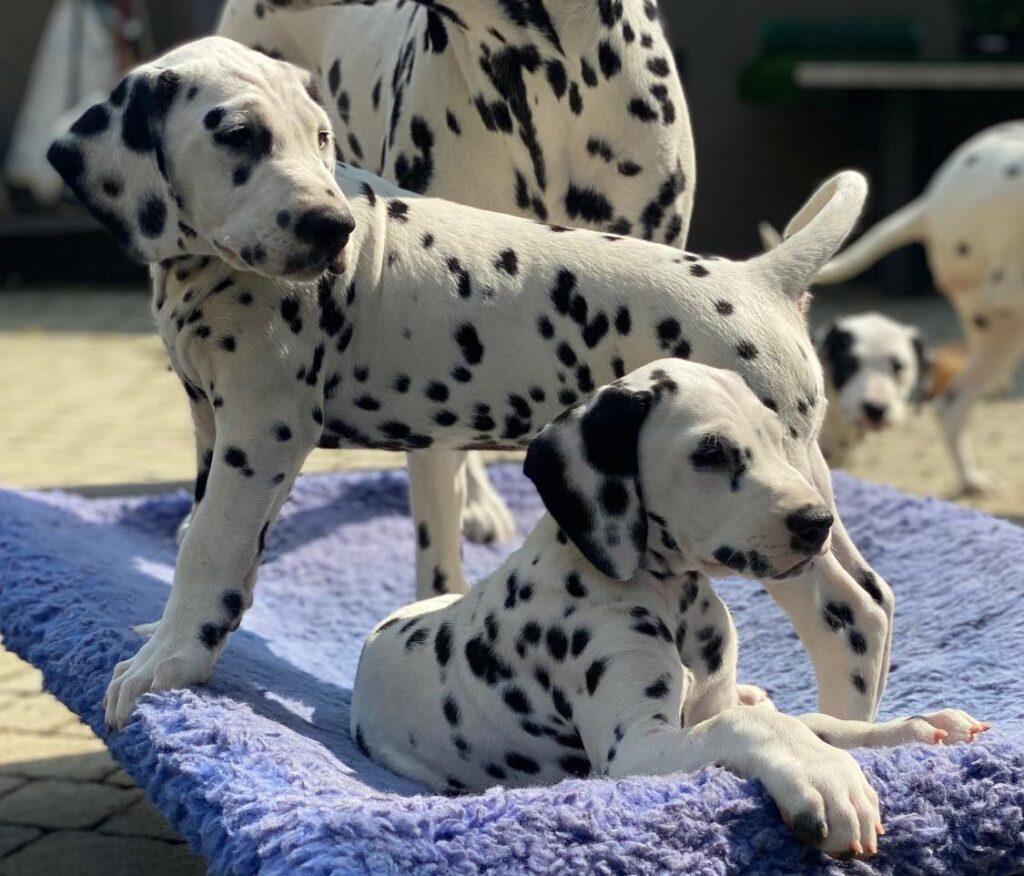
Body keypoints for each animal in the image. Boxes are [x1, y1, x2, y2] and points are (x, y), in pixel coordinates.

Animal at [354, 358, 991, 864]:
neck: (669, 597)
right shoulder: (634, 750)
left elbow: (817, 722)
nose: (819, 523)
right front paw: (829, 778)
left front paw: (912, 727)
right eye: (710, 453)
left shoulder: (710, 703)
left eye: (776, 437)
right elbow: (754, 726)